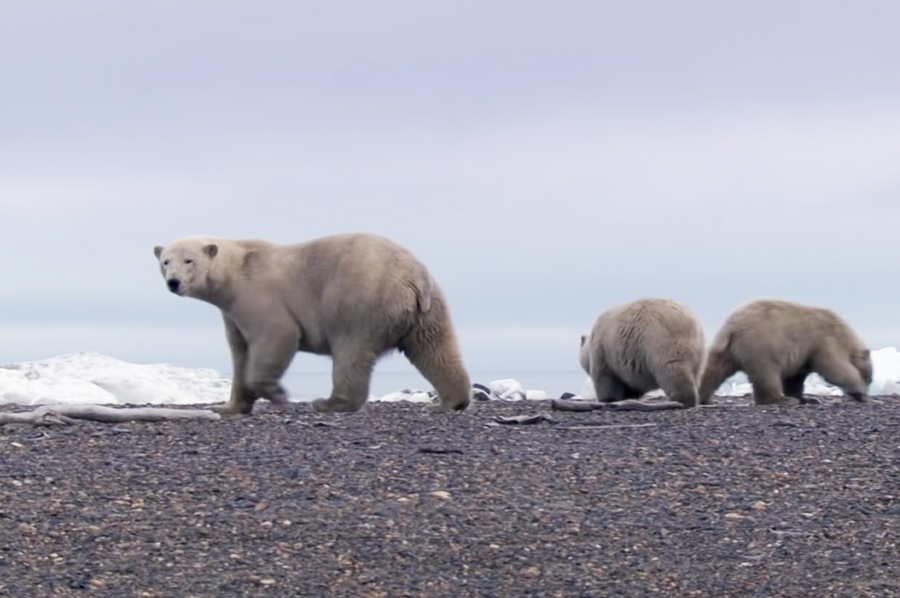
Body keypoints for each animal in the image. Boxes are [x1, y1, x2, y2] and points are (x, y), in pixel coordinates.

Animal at [153, 234, 472, 418]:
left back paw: (329, 403)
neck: (237, 270)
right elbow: (239, 352)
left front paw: (278, 394)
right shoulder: (231, 313)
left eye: (188, 260)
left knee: (351, 351)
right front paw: (228, 407)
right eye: (165, 261)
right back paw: (448, 401)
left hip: (360, 298)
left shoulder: (258, 295)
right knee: (434, 348)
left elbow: (278, 335)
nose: (173, 282)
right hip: (429, 310)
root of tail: (413, 276)